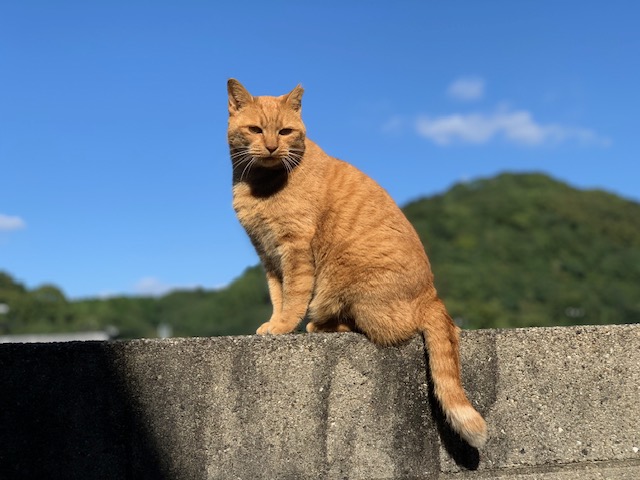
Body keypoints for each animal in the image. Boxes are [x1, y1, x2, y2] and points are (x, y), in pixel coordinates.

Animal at [228, 77, 488, 448]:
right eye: (255, 130)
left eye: (286, 131)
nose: (272, 147)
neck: (260, 185)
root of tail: (432, 295)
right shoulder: (267, 254)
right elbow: (278, 296)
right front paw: (274, 323)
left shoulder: (294, 250)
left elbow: (293, 296)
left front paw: (283, 327)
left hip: (352, 291)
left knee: (380, 329)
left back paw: (318, 326)